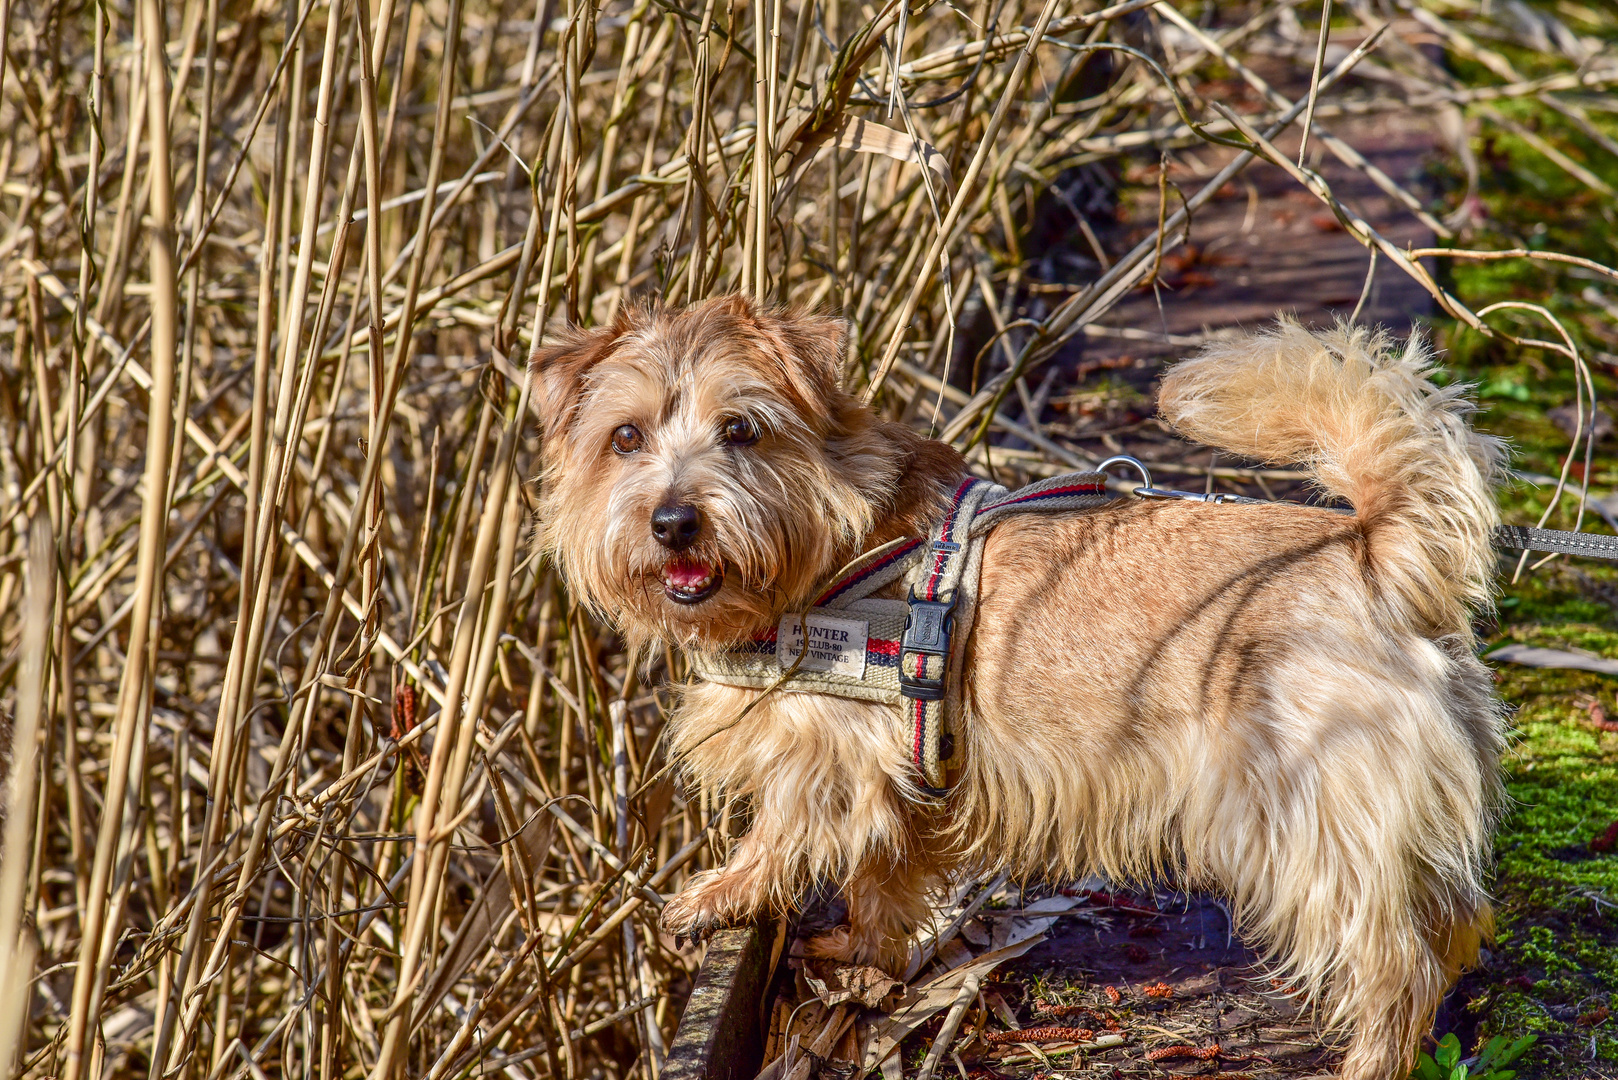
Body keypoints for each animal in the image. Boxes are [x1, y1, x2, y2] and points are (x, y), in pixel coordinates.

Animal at [537, 296, 1507, 1080]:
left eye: (742, 429)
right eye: (625, 438)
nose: (672, 521)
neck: (831, 546)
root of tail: (1374, 553)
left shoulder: (829, 762)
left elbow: (785, 836)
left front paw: (717, 896)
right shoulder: (901, 782)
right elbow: (881, 885)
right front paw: (861, 961)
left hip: (1314, 822)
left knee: (1395, 963)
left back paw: (1373, 1059)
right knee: (1454, 917)